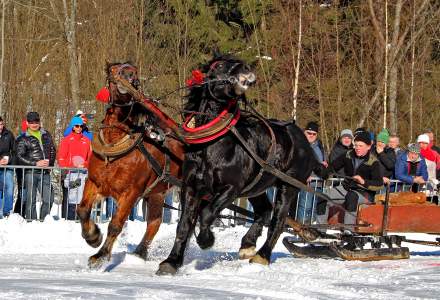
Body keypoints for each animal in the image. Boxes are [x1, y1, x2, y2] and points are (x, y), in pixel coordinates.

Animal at [77, 62, 184, 268]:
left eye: (134, 71)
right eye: (114, 70)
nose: (130, 77)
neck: (115, 143)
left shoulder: (131, 193)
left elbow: (115, 224)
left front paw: (100, 256)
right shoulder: (94, 182)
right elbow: (83, 209)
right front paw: (93, 236)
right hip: (157, 192)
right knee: (154, 222)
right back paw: (140, 253)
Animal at [158, 54, 320, 274]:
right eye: (218, 65)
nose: (245, 67)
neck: (211, 146)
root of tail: (302, 139)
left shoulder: (231, 189)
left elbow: (206, 214)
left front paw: (206, 240)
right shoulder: (190, 187)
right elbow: (184, 225)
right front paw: (172, 261)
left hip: (289, 186)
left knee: (277, 222)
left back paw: (261, 256)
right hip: (258, 187)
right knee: (264, 211)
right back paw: (248, 244)